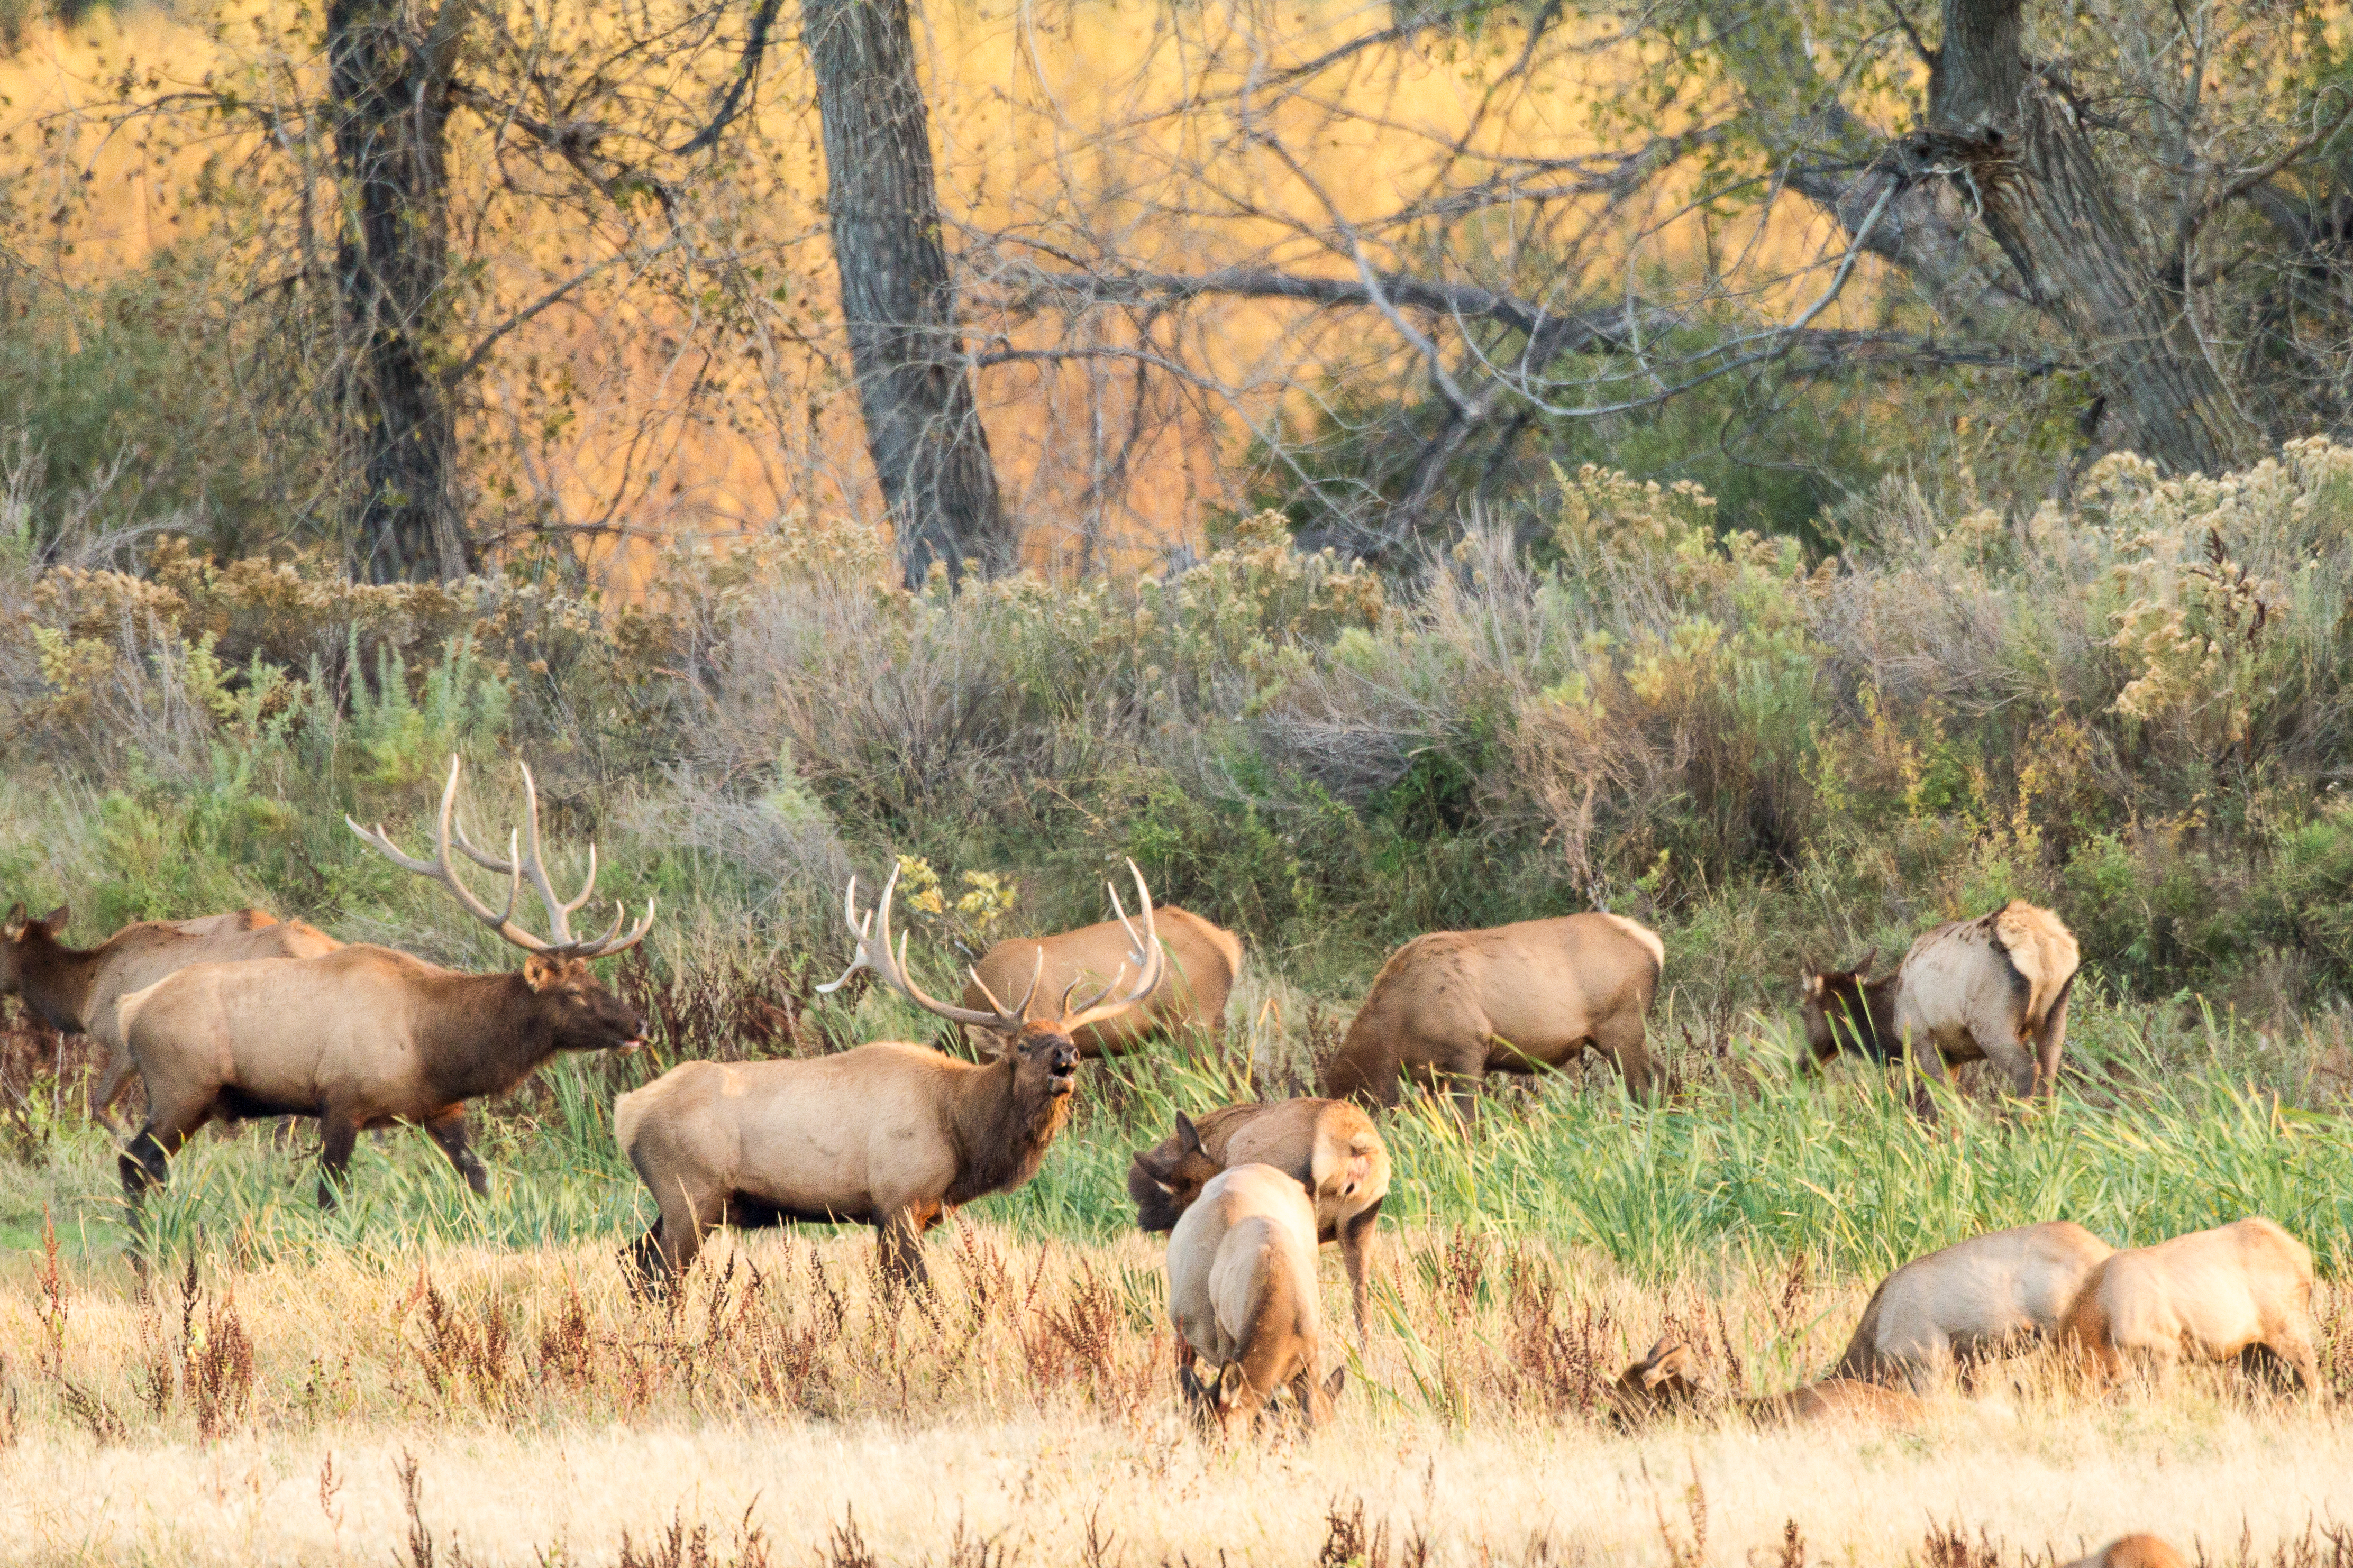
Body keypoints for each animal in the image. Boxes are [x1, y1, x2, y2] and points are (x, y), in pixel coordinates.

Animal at [115, 756, 653, 1215]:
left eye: (595, 977)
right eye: (573, 992)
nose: (639, 1024)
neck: (432, 1045)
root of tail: (129, 1008)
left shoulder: (441, 1107)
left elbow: (479, 1176)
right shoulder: (341, 1100)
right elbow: (329, 1198)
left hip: (189, 1100)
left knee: (147, 1166)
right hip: (181, 1089)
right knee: (134, 1162)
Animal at [616, 861, 1165, 1291]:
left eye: (1067, 1038)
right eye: (1023, 1046)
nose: (1066, 1059)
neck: (962, 1128)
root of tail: (627, 1113)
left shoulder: (897, 1213)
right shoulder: (900, 1197)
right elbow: (917, 1289)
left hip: (679, 1202)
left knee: (632, 1259)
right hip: (690, 1192)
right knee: (659, 1276)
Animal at [1322, 912, 1664, 1119]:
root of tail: (1655, 946)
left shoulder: (1469, 1048)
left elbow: (1466, 1122)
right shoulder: (1431, 1075)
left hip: (1622, 1027)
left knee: (1645, 1087)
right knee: (1661, 1075)